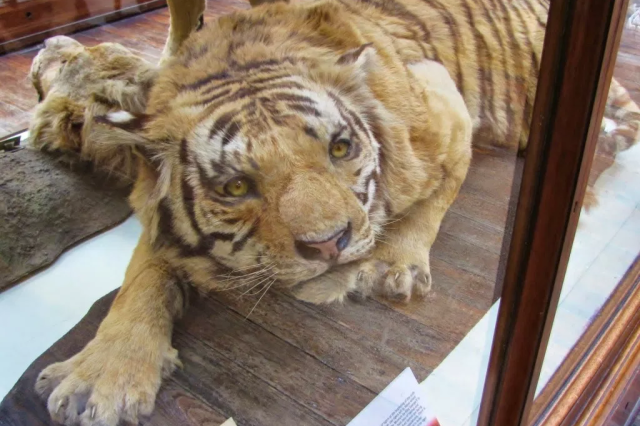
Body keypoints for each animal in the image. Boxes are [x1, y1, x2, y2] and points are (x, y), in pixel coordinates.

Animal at [24, 0, 634, 424]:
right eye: (237, 186)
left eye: (340, 149)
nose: (328, 243)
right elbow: (141, 279)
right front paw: (101, 376)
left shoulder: (444, 100)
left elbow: (435, 197)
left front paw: (394, 264)